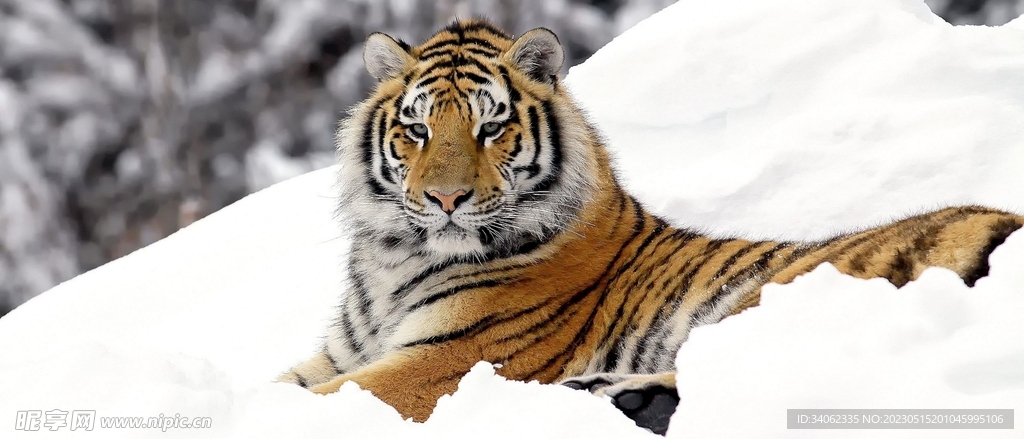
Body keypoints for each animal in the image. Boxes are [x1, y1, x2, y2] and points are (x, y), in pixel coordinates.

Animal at [278, 19, 1024, 435]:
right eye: (418, 129)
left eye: (490, 128)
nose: (445, 198)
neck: (393, 262)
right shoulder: (337, 354)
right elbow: (285, 386)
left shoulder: (443, 360)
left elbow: (309, 401)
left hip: (784, 291)